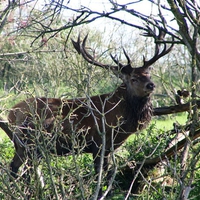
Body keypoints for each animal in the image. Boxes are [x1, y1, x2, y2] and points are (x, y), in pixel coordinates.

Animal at [0, 27, 173, 199]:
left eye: (148, 74)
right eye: (134, 78)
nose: (151, 85)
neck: (119, 122)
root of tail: (11, 113)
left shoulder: (109, 148)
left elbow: (108, 175)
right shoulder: (98, 144)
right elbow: (100, 175)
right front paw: (100, 194)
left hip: (24, 145)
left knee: (17, 168)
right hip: (29, 142)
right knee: (23, 170)